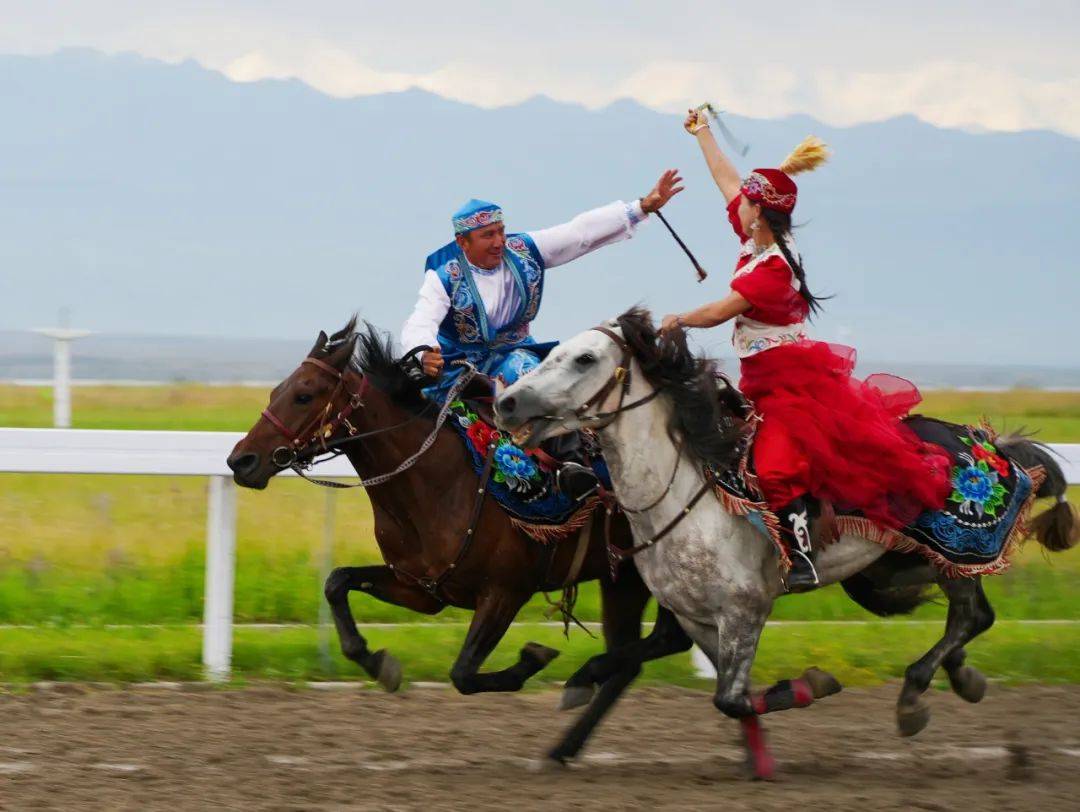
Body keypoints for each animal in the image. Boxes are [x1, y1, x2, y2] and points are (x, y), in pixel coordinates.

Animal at [227, 317, 652, 699]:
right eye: (275, 392)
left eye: (304, 395)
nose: (241, 461)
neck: (436, 484)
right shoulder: (421, 588)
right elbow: (337, 582)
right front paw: (377, 662)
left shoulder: (505, 592)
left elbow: (463, 673)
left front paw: (534, 657)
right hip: (624, 577)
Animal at [494, 306, 1075, 777]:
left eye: (584, 358)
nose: (507, 402)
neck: (684, 493)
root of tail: (991, 443)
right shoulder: (691, 615)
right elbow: (639, 661)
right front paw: (576, 685)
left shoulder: (744, 610)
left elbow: (730, 698)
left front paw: (812, 685)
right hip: (906, 563)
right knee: (974, 616)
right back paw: (963, 678)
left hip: (953, 552)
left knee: (972, 615)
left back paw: (914, 697)